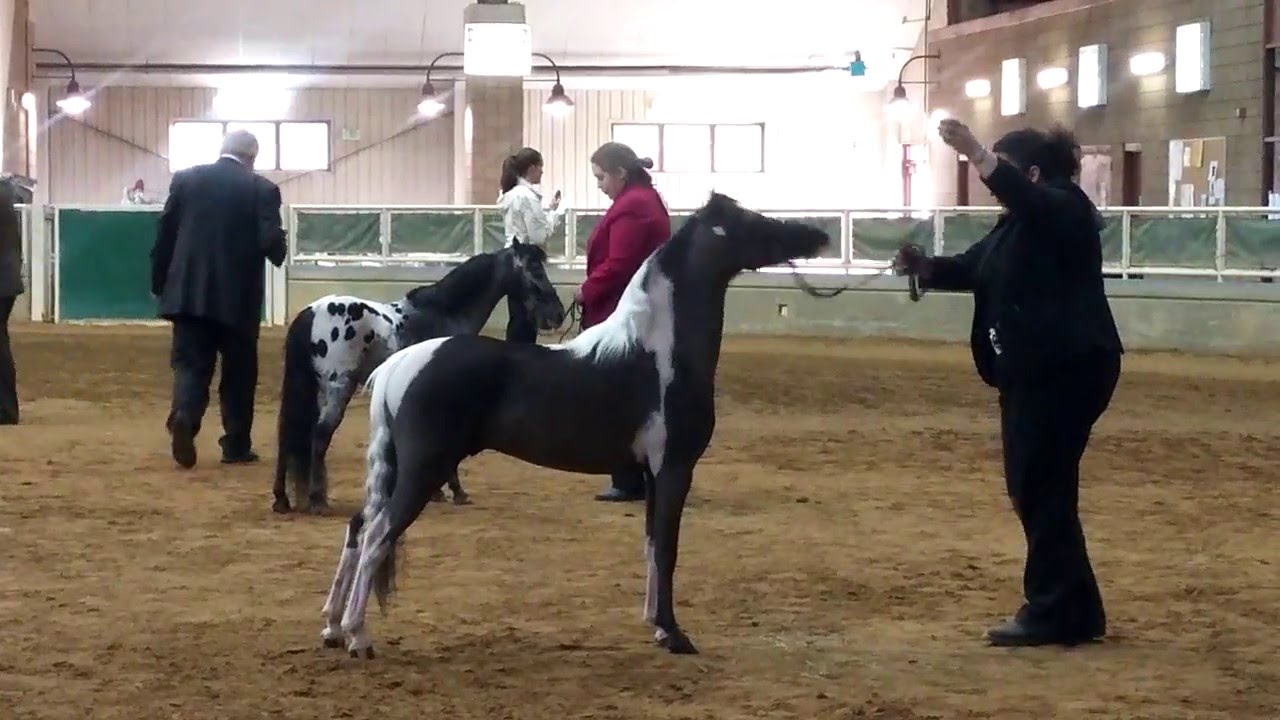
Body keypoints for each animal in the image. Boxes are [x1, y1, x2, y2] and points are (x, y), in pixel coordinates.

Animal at [273, 238, 566, 516]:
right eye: (534, 268)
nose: (558, 314)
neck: (445, 313)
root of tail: (309, 314)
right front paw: (455, 492)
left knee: (288, 433)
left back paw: (282, 499)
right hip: (338, 386)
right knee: (320, 434)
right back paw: (317, 500)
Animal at [317, 192, 831, 658]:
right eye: (753, 223)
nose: (817, 236)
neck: (658, 355)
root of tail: (399, 365)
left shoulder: (650, 473)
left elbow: (651, 544)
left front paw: (655, 626)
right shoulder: (673, 469)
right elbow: (667, 549)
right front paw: (674, 634)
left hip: (396, 470)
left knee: (359, 527)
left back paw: (333, 628)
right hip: (423, 471)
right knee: (378, 536)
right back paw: (359, 637)